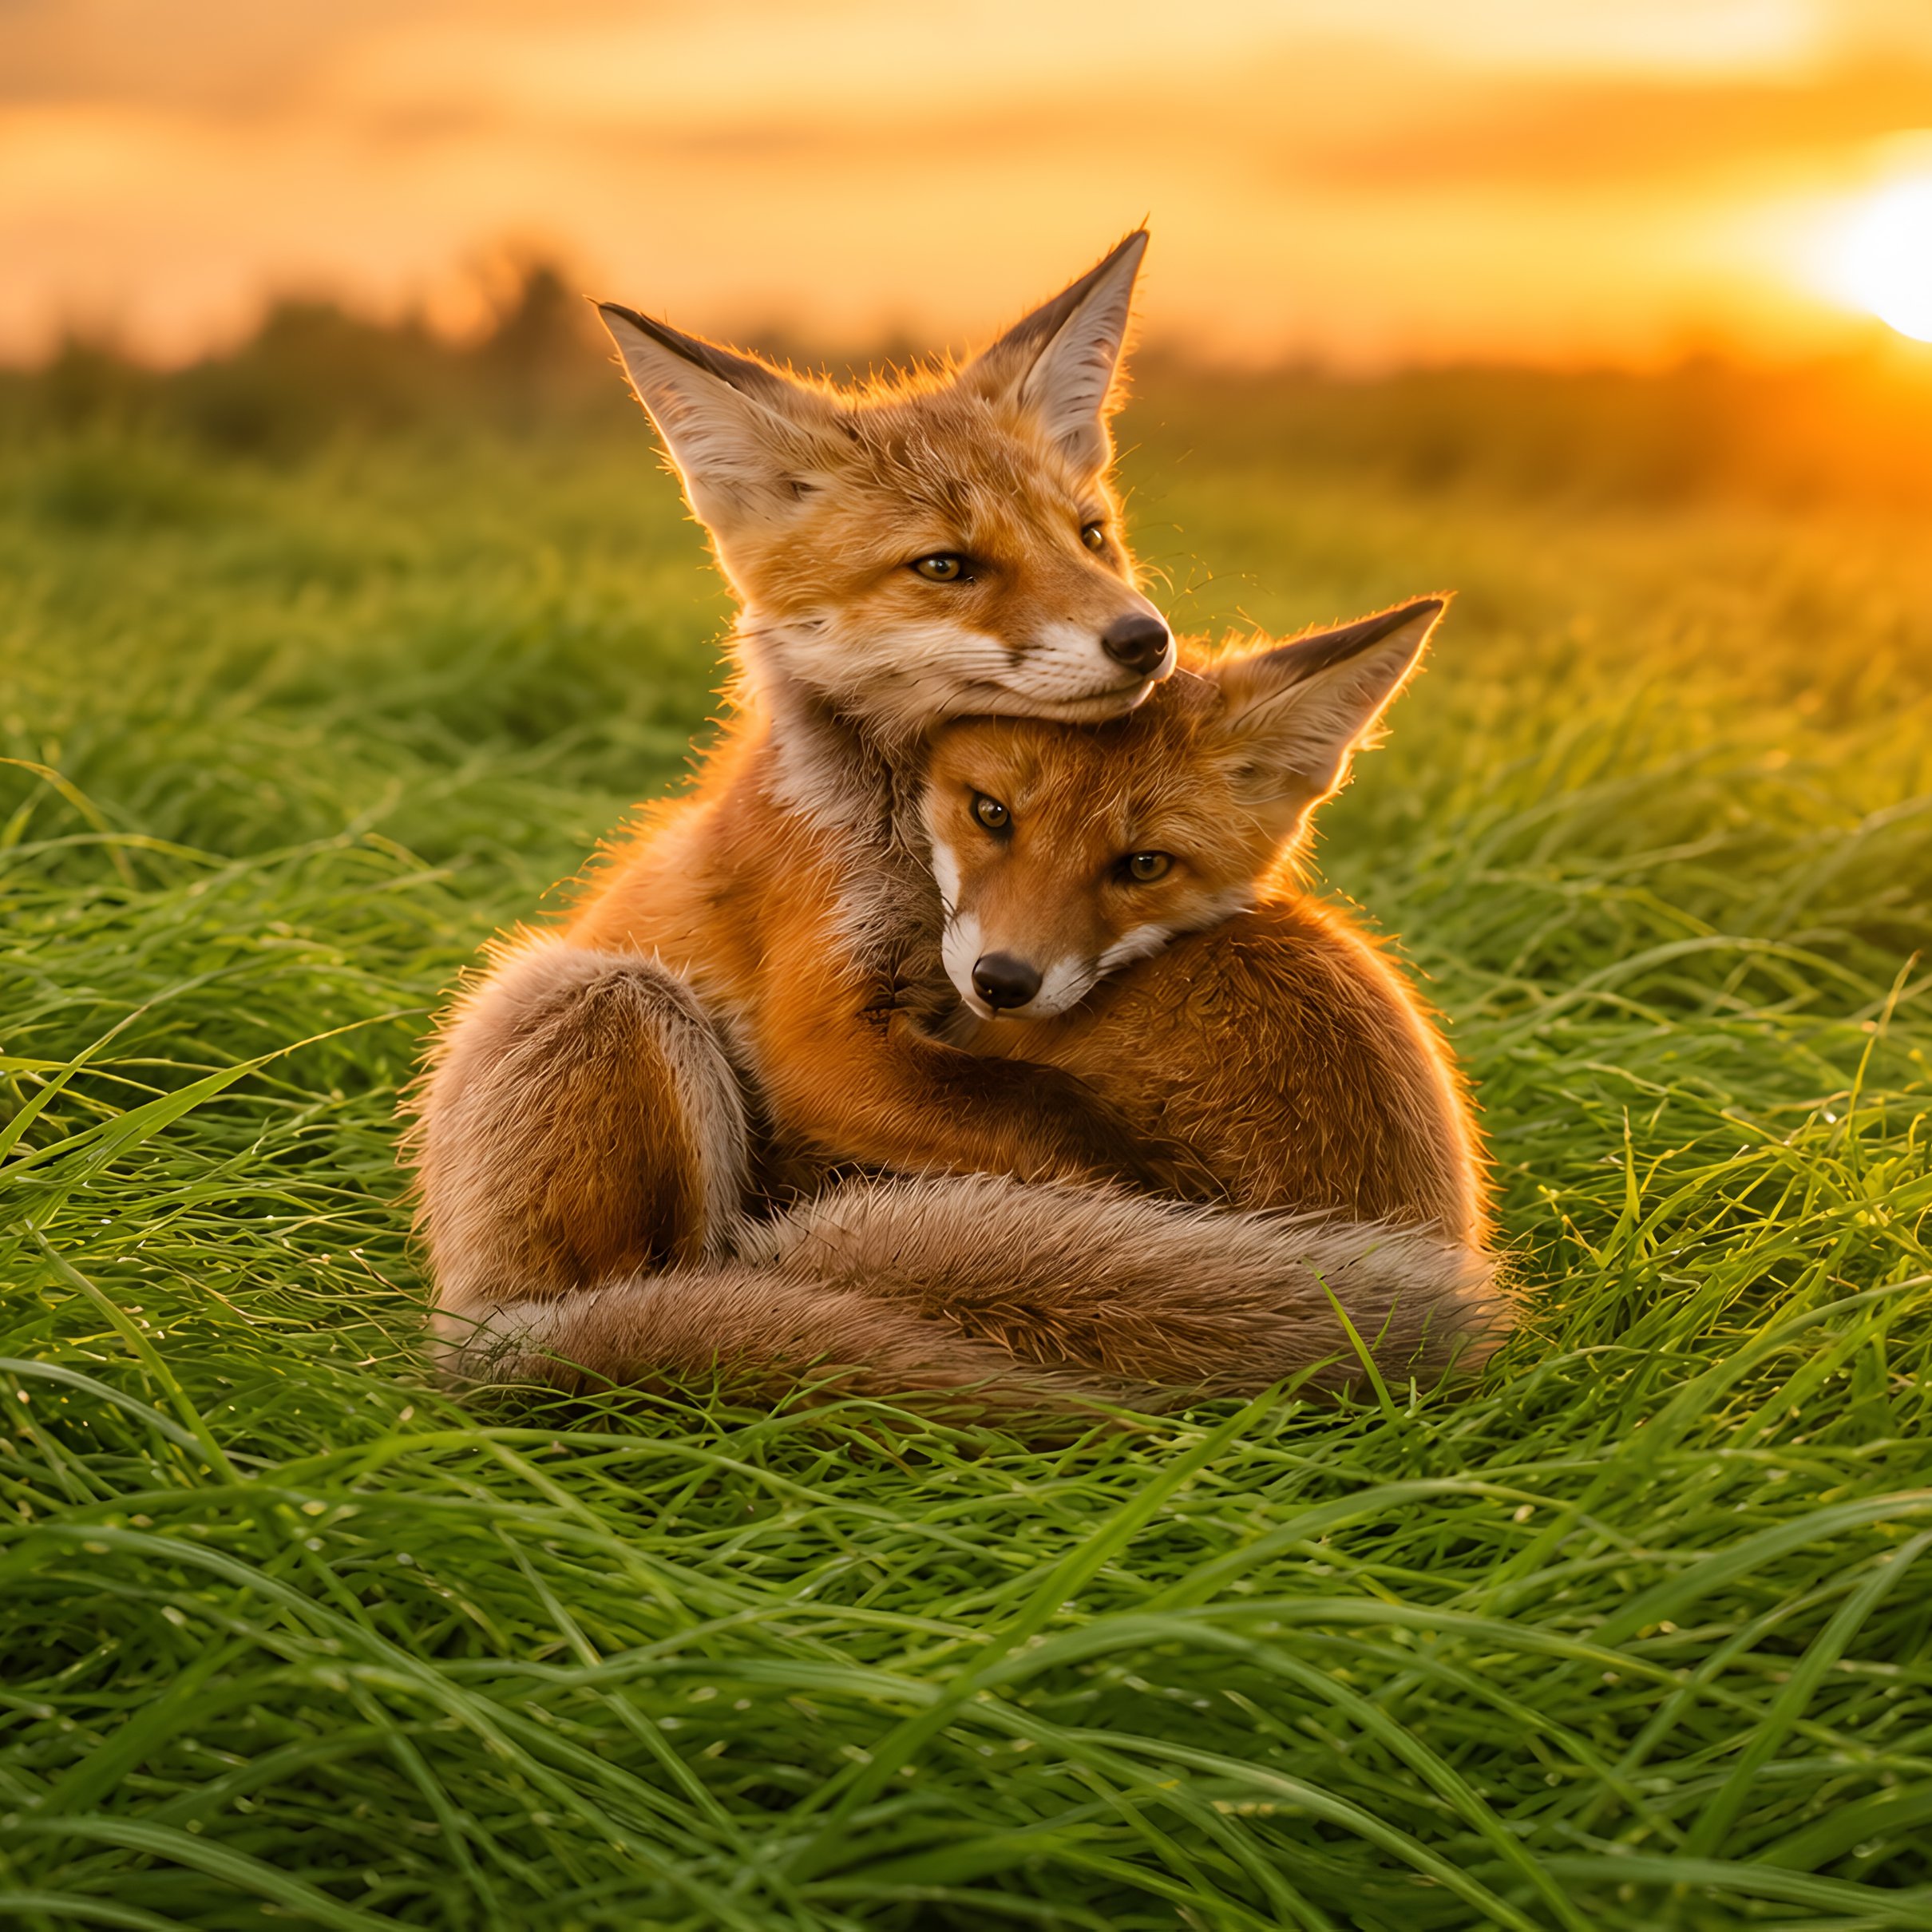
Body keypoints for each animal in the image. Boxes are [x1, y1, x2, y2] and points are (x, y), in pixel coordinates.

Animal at [408, 233, 1506, 1410]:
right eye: (945, 565)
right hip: (608, 1000)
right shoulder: (824, 1036)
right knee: (629, 1285)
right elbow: (1045, 1114)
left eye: (1091, 535)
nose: (1145, 639)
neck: (904, 846)